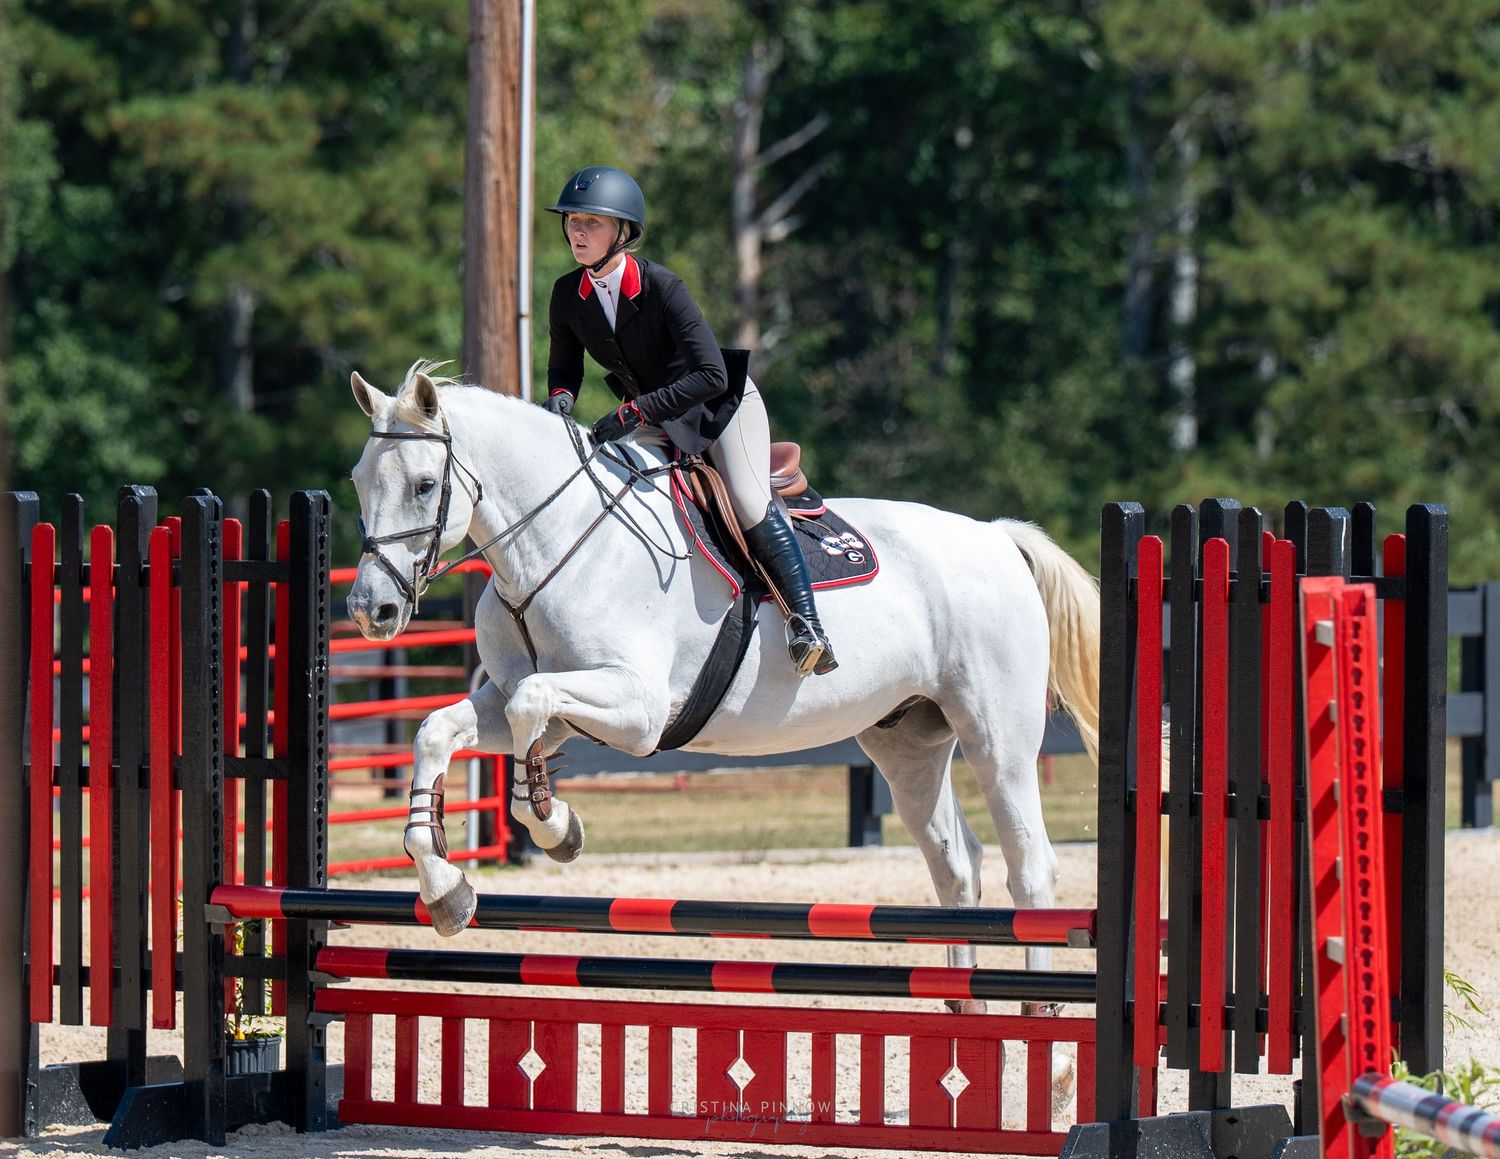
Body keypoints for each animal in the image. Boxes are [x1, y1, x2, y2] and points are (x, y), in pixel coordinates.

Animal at [345, 361, 1101, 1014]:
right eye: (357, 480)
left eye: (422, 484)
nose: (370, 609)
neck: (556, 543)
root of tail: (997, 539)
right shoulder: (519, 699)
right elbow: (440, 730)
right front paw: (446, 887)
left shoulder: (636, 709)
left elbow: (536, 710)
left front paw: (555, 825)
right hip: (907, 740)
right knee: (955, 862)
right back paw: (965, 1005)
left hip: (996, 735)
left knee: (1030, 865)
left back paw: (1042, 1023)